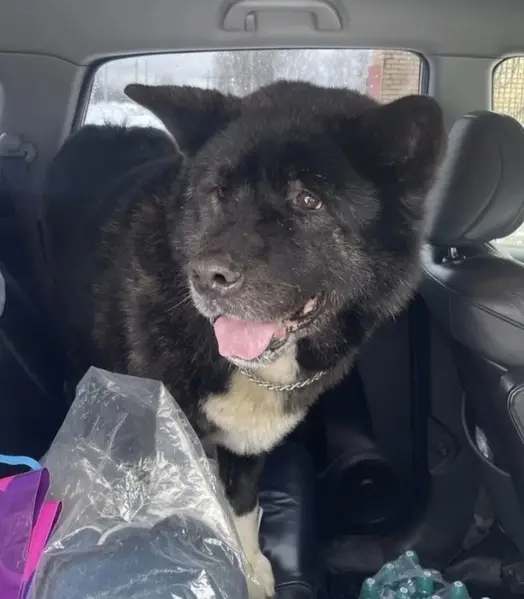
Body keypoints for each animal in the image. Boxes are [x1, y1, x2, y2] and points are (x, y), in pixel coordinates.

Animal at [43, 80, 444, 599]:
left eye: (308, 200)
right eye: (218, 192)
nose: (206, 277)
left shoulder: (250, 446)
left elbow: (244, 508)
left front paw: (249, 568)